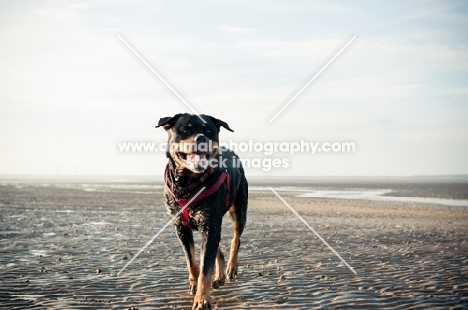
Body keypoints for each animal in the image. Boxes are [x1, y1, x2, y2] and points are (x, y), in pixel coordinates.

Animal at [156, 114, 249, 310]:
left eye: (209, 131)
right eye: (185, 130)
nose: (201, 138)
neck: (188, 183)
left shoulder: (210, 223)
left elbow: (206, 267)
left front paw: (202, 299)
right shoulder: (181, 227)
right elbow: (192, 260)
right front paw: (194, 283)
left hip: (238, 208)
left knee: (236, 238)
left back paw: (231, 268)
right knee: (217, 248)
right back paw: (219, 277)